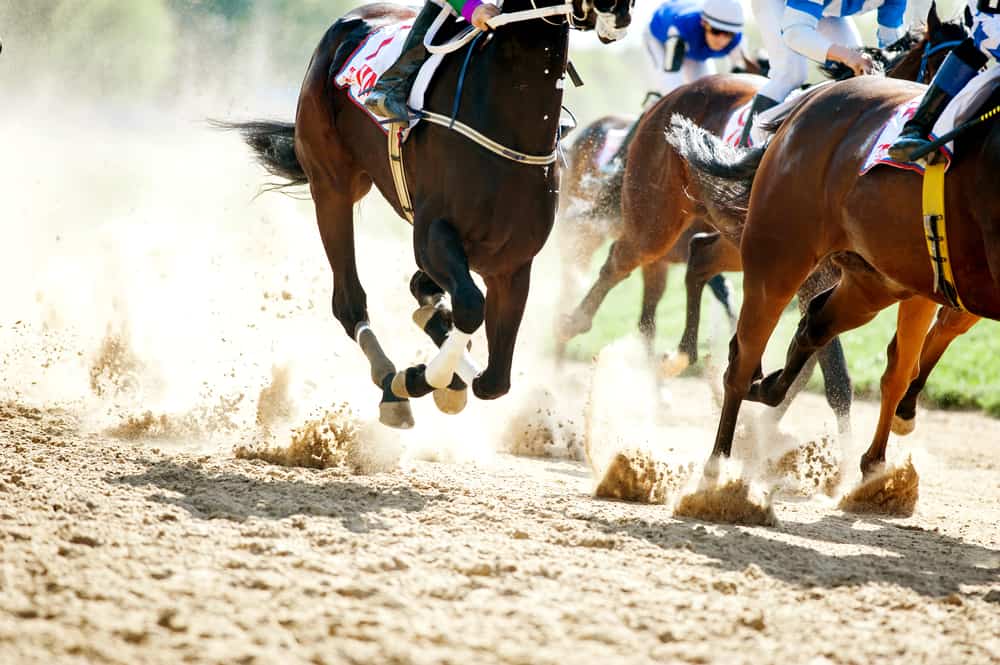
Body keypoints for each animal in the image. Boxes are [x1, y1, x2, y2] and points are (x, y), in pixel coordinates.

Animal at [225, 0, 632, 428]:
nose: (619, 12)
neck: (510, 124)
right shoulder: (433, 232)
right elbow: (470, 307)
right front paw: (418, 378)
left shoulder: (512, 263)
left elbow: (495, 380)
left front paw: (443, 373)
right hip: (332, 186)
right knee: (349, 301)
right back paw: (391, 381)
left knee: (421, 291)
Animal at [672, 76, 1000, 478]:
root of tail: (814, 95)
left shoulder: (936, 286)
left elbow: (906, 359)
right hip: (779, 258)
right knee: (744, 356)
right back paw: (718, 468)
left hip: (872, 282)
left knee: (814, 326)